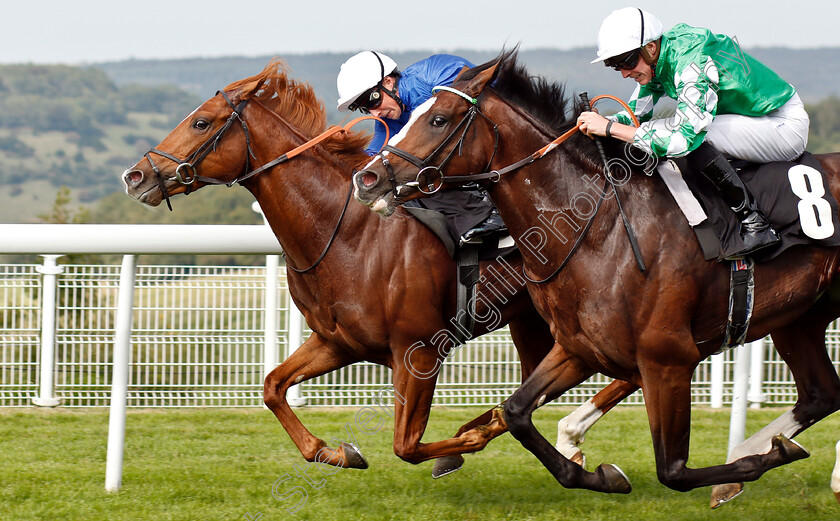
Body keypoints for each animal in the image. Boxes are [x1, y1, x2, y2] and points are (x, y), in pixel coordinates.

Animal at [121, 60, 636, 476]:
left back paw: (562, 437)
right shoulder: (336, 342)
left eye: (201, 122)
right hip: (535, 321)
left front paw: (464, 442)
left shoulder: (419, 352)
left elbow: (406, 444)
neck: (346, 234)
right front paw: (336, 452)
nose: (134, 175)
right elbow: (272, 387)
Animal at [352, 50, 840, 502]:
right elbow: (515, 412)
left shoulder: (668, 359)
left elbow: (674, 470)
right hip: (801, 319)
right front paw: (601, 476)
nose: (367, 178)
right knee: (821, 393)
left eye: (438, 119)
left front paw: (767, 459)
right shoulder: (578, 348)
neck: (599, 230)